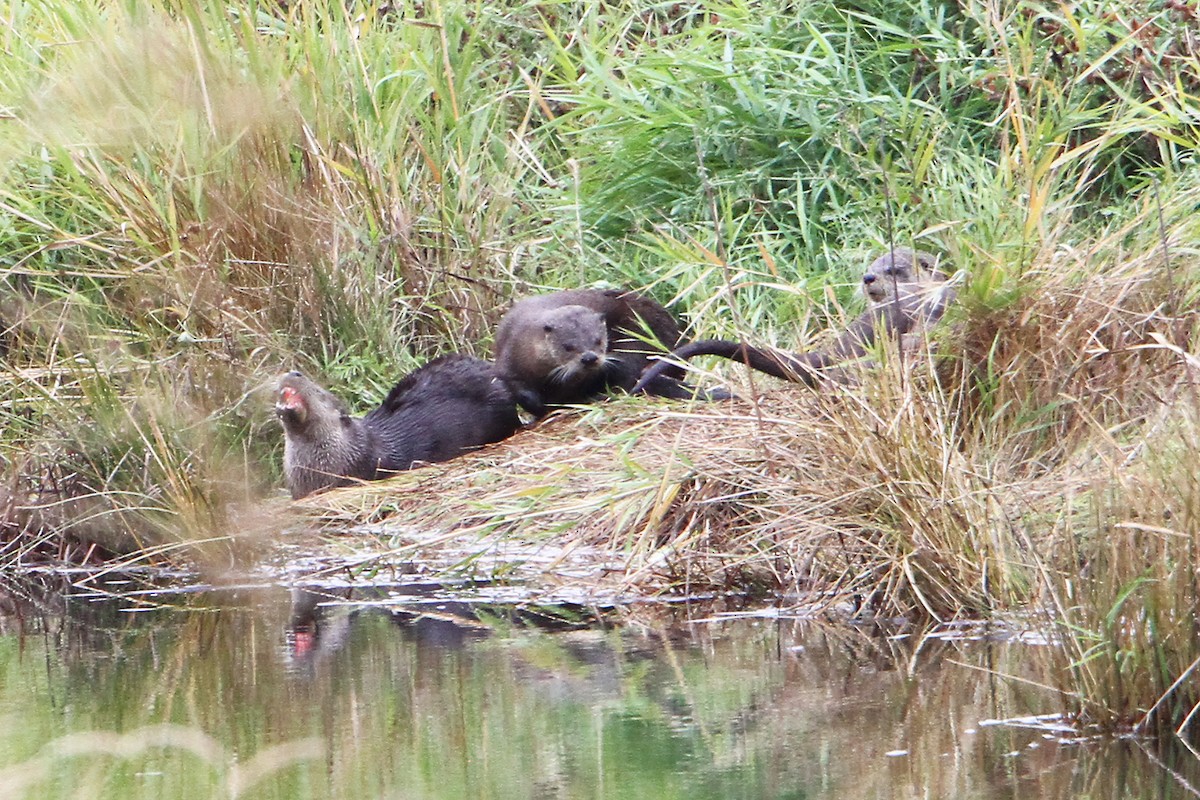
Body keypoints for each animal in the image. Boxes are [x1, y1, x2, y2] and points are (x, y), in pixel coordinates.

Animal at [493, 287, 714, 416]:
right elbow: (519, 390)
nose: (589, 358)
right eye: (568, 346)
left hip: (635, 339)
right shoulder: (508, 360)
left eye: (598, 340)